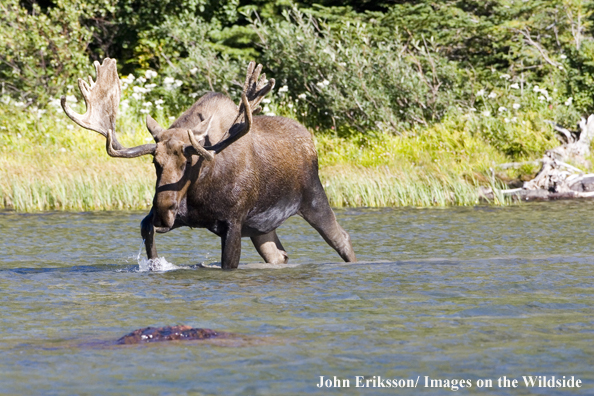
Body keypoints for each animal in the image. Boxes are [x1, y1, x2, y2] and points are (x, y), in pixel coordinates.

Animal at [61, 58, 354, 270]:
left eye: (190, 161)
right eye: (155, 162)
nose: (163, 209)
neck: (200, 188)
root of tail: (310, 139)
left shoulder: (233, 222)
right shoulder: (178, 218)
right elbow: (148, 236)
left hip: (313, 198)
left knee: (343, 239)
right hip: (262, 226)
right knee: (279, 256)